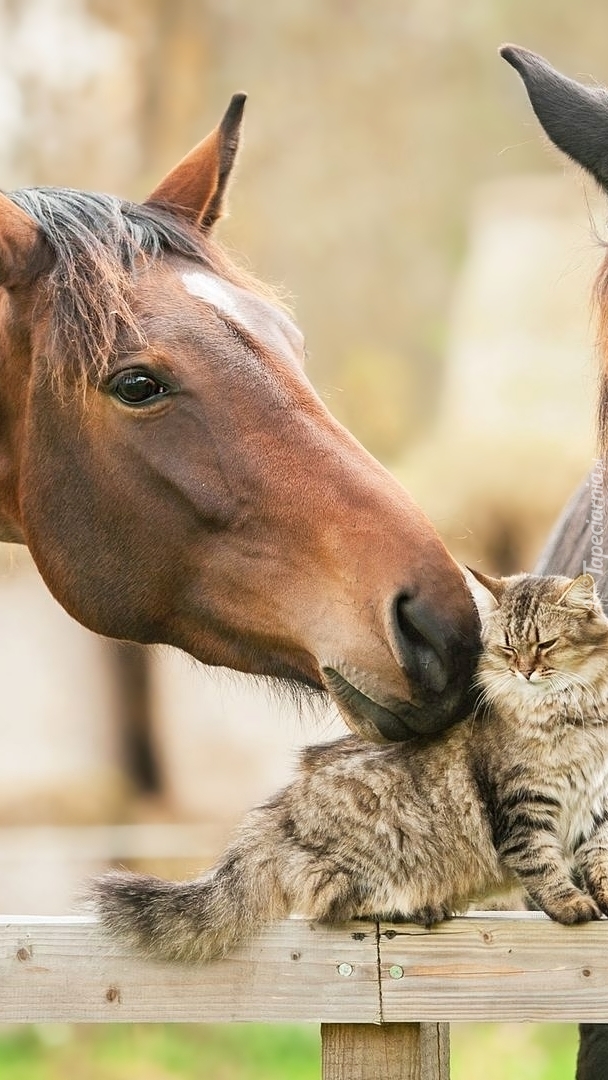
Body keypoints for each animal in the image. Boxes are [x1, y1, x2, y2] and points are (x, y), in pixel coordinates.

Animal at [91, 570, 608, 959]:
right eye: (506, 647)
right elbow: (543, 866)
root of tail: (277, 816)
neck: (574, 717)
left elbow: (597, 859)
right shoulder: (523, 808)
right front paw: (572, 906)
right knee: (332, 904)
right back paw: (416, 907)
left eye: (545, 644)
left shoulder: (596, 808)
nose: (524, 670)